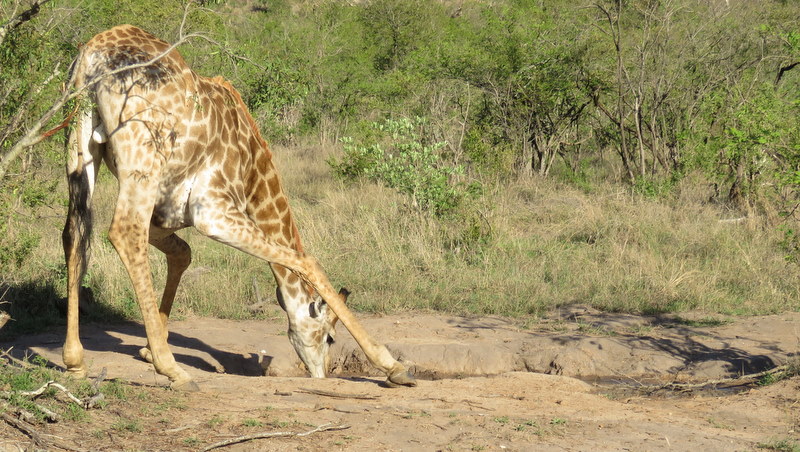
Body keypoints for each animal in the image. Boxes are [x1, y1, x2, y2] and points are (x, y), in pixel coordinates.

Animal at [61, 25, 416, 391]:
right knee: (123, 231)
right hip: (143, 158)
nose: (322, 375)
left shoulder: (166, 216)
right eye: (329, 337)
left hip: (78, 143)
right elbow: (306, 261)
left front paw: (148, 347)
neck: (252, 174)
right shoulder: (212, 212)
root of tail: (92, 55)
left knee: (75, 232)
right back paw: (172, 369)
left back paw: (75, 361)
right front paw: (393, 366)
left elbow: (183, 254)